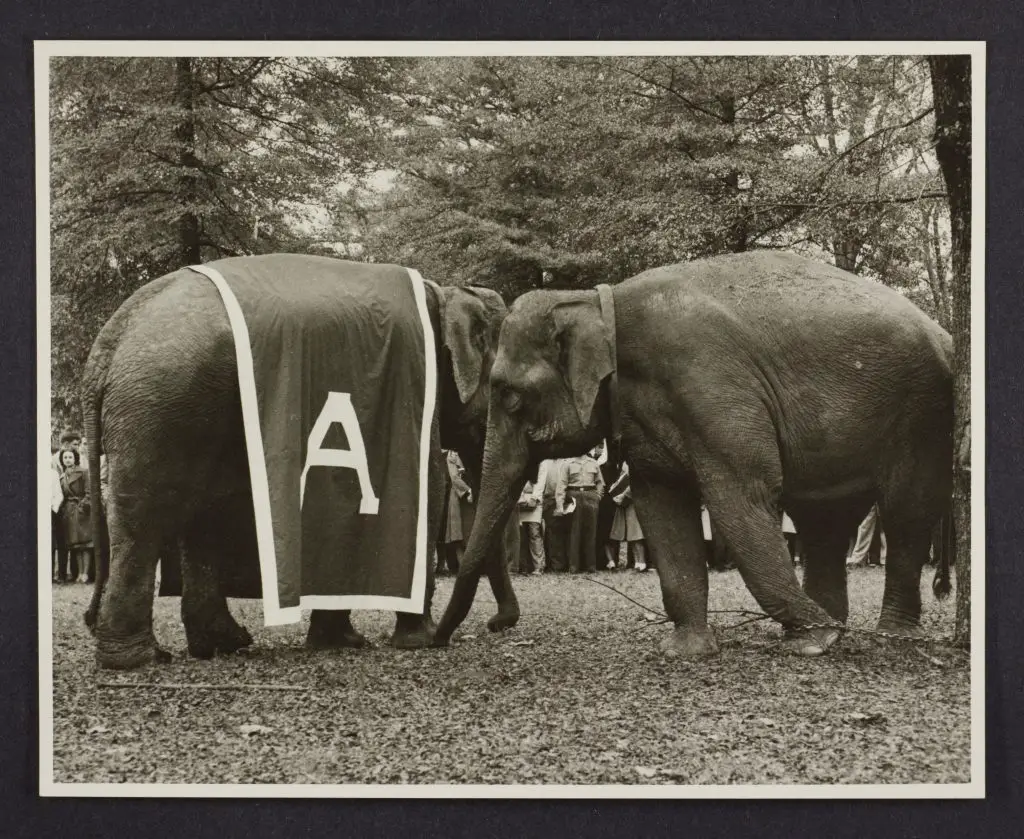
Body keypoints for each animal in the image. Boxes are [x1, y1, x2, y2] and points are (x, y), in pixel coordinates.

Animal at [81, 253, 520, 672]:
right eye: (502, 389)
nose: (499, 624)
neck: (444, 293)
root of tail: (109, 341)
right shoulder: (411, 389)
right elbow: (427, 484)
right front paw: (417, 641)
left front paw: (341, 641)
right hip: (161, 404)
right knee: (147, 518)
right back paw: (137, 659)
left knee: (195, 512)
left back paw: (219, 645)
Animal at [430, 253, 950, 659]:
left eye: (509, 395)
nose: (440, 638)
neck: (599, 304)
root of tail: (941, 331)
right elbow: (663, 509)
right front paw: (685, 651)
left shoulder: (708, 383)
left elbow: (741, 496)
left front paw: (815, 640)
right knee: (824, 520)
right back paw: (828, 628)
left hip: (920, 412)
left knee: (904, 513)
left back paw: (880, 635)